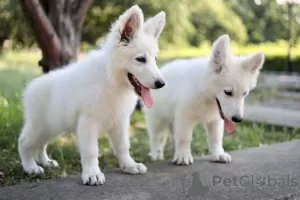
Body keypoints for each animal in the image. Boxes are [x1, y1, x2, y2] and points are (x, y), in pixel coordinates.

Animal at [18, 4, 166, 185]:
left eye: (155, 59)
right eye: (140, 59)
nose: (161, 84)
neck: (111, 80)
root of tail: (32, 86)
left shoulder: (120, 121)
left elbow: (123, 146)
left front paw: (129, 165)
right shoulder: (88, 123)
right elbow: (91, 151)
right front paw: (92, 173)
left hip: (53, 126)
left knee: (41, 144)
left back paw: (45, 161)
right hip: (40, 126)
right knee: (24, 141)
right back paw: (30, 167)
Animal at [144, 34, 264, 165]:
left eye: (244, 94)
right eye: (228, 92)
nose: (238, 119)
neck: (206, 94)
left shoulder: (215, 119)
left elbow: (215, 138)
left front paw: (218, 154)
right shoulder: (184, 116)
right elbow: (185, 137)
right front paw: (183, 155)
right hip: (158, 119)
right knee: (157, 137)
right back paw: (156, 155)